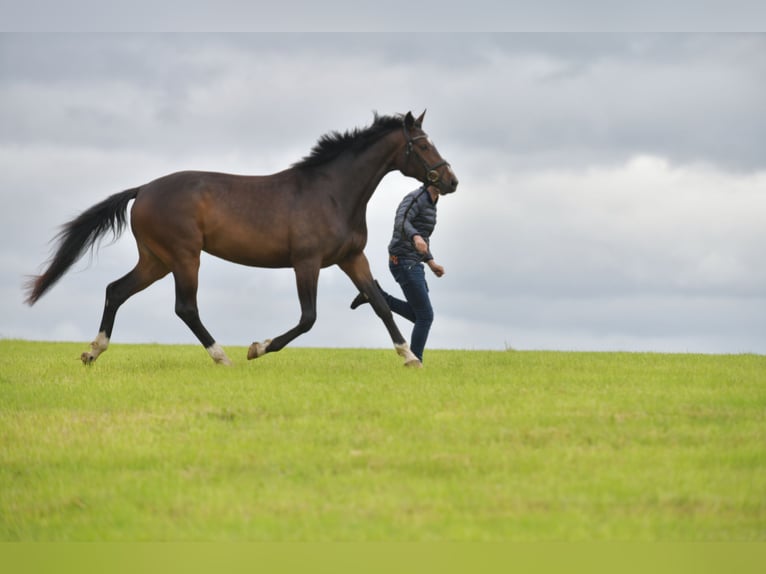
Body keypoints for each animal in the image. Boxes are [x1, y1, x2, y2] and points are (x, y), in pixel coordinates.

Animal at [24, 111, 460, 368]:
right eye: (423, 145)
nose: (451, 181)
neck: (332, 193)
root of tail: (143, 189)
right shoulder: (306, 263)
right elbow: (308, 318)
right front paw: (257, 347)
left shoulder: (352, 258)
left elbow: (379, 305)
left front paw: (409, 357)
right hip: (184, 256)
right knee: (185, 307)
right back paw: (222, 357)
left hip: (155, 260)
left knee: (116, 290)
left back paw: (92, 351)